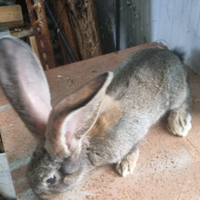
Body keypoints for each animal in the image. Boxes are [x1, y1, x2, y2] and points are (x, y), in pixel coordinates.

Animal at [0, 35, 191, 198]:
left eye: (50, 179)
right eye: (29, 167)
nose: (37, 193)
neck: (85, 144)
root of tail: (171, 54)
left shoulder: (134, 135)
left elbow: (134, 147)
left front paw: (125, 165)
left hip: (176, 94)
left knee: (185, 98)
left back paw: (179, 123)